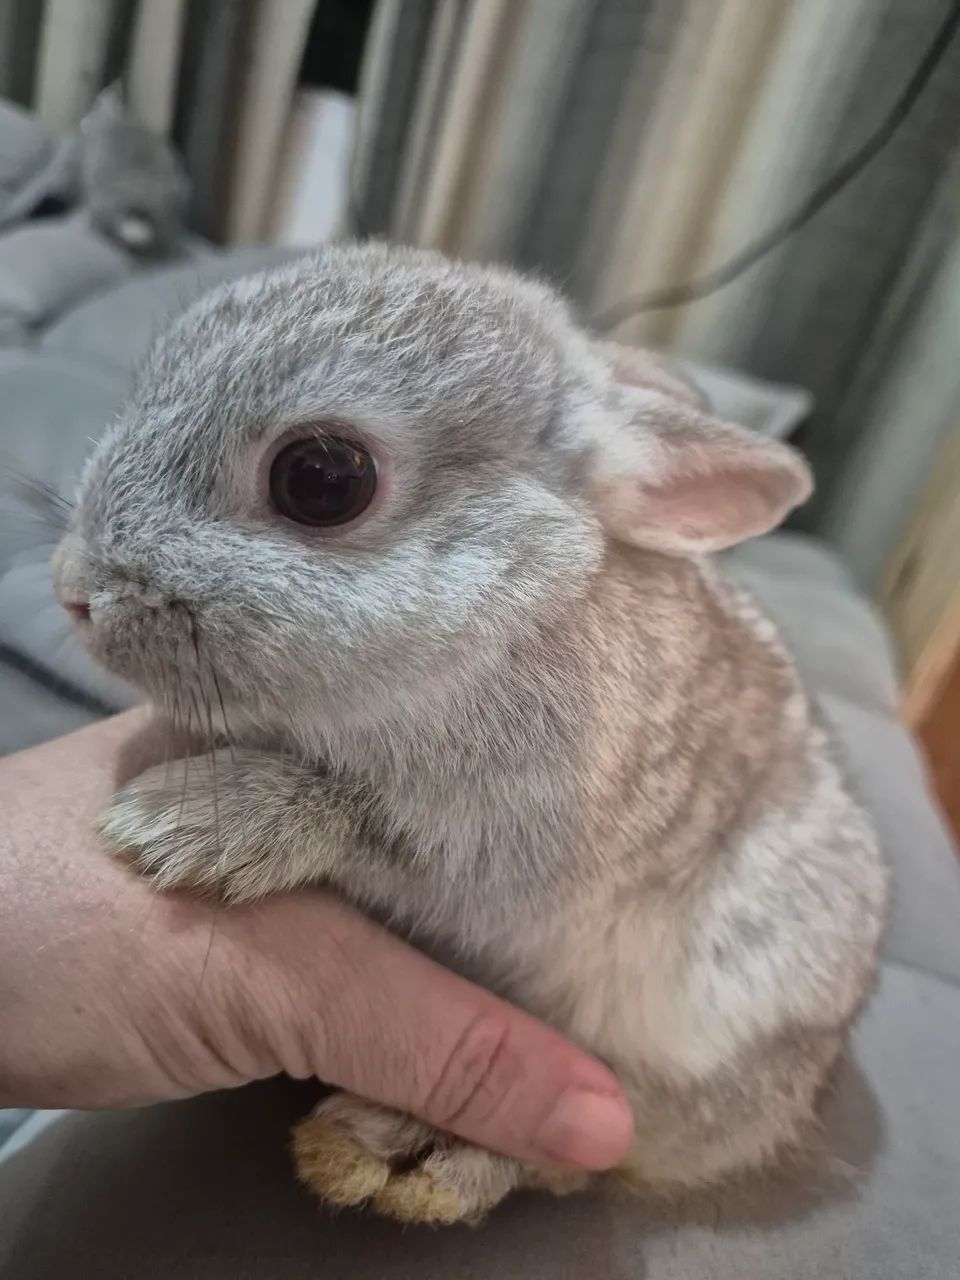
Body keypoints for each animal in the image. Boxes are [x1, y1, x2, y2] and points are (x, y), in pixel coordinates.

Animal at [53, 241, 887, 1225]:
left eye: (322, 479)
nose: (71, 589)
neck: (514, 607)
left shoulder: (496, 857)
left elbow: (368, 826)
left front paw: (181, 827)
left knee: (577, 1156)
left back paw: (410, 1156)